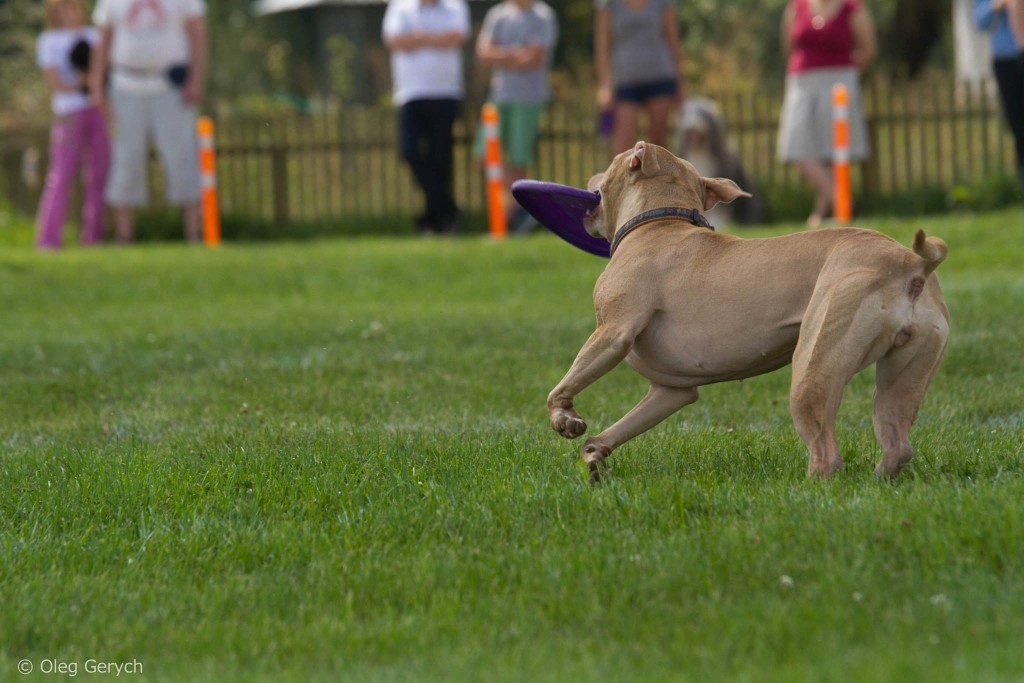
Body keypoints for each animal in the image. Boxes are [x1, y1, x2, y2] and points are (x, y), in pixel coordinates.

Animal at [548, 141, 946, 481]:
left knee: (826, 453)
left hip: (814, 368)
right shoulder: (671, 391)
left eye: (613, 162)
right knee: (897, 444)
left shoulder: (612, 333)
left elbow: (563, 386)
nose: (590, 178)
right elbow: (622, 427)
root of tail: (912, 264)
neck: (660, 220)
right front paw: (594, 454)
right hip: (902, 378)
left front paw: (565, 419)